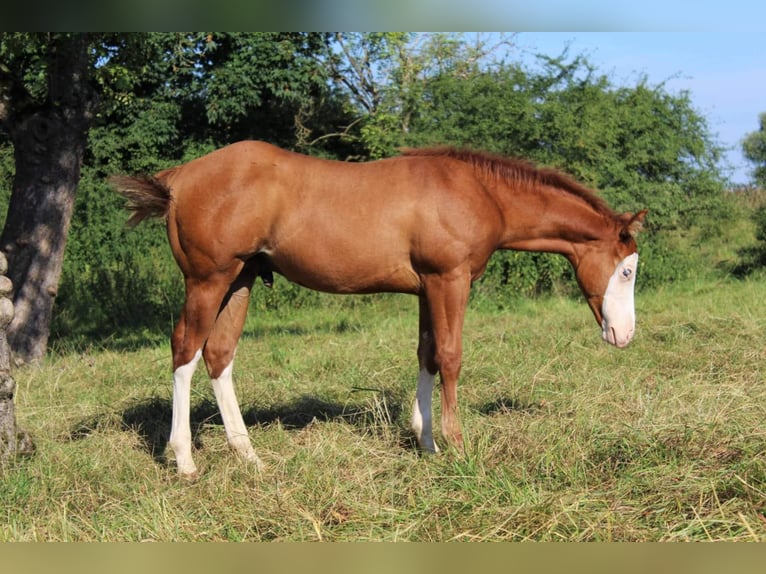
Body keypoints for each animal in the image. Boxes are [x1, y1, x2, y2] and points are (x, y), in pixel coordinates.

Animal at [111, 141, 647, 480]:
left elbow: (427, 355)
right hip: (208, 280)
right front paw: (457, 446)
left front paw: (426, 442)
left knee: (219, 355)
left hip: (240, 280)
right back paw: (184, 461)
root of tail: (178, 178)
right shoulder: (449, 280)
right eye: (627, 270)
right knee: (186, 350)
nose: (623, 335)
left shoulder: (428, 288)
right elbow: (451, 357)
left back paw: (249, 457)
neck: (479, 192)